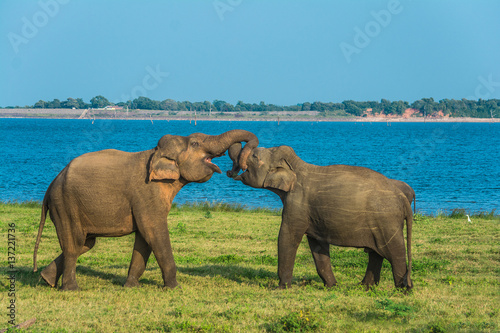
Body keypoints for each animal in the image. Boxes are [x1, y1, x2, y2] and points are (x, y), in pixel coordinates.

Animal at [32, 128, 258, 290]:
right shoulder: (147, 193)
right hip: (66, 205)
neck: (155, 153)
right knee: (74, 243)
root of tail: (50, 186)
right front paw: (174, 288)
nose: (232, 170)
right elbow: (154, 232)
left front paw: (131, 287)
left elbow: (144, 238)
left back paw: (46, 279)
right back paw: (71, 289)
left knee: (85, 243)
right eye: (194, 143)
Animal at [229, 144, 412, 290]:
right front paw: (332, 286)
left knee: (394, 252)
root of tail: (402, 197)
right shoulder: (314, 215)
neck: (296, 165)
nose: (231, 171)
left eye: (254, 156)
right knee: (376, 253)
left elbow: (288, 236)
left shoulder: (297, 204)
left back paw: (403, 289)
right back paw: (364, 287)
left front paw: (281, 288)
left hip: (386, 221)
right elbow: (317, 245)